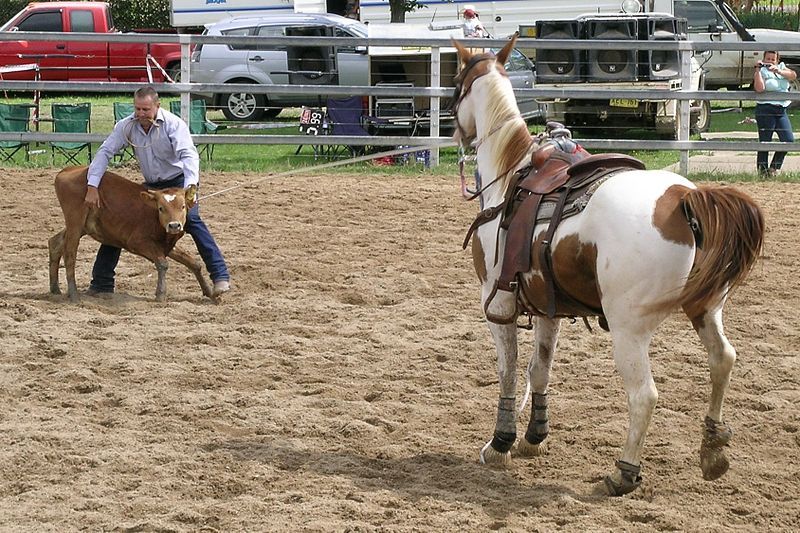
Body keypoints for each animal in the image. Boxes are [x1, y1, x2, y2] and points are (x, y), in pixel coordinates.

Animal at [48, 164, 214, 302]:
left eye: (183, 206)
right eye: (161, 208)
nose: (174, 225)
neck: (153, 216)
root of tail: (67, 171)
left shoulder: (165, 245)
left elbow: (193, 263)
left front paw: (210, 292)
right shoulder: (138, 242)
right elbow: (162, 263)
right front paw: (160, 294)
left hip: (81, 227)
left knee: (55, 242)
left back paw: (55, 289)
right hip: (75, 223)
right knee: (70, 254)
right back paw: (74, 294)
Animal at [454, 39, 764, 496]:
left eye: (456, 84)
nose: (456, 132)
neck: (512, 175)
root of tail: (684, 199)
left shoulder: (498, 304)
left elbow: (509, 371)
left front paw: (501, 443)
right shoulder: (548, 308)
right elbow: (539, 369)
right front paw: (534, 437)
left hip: (628, 327)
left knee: (644, 395)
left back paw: (623, 473)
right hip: (707, 308)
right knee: (722, 360)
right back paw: (713, 450)